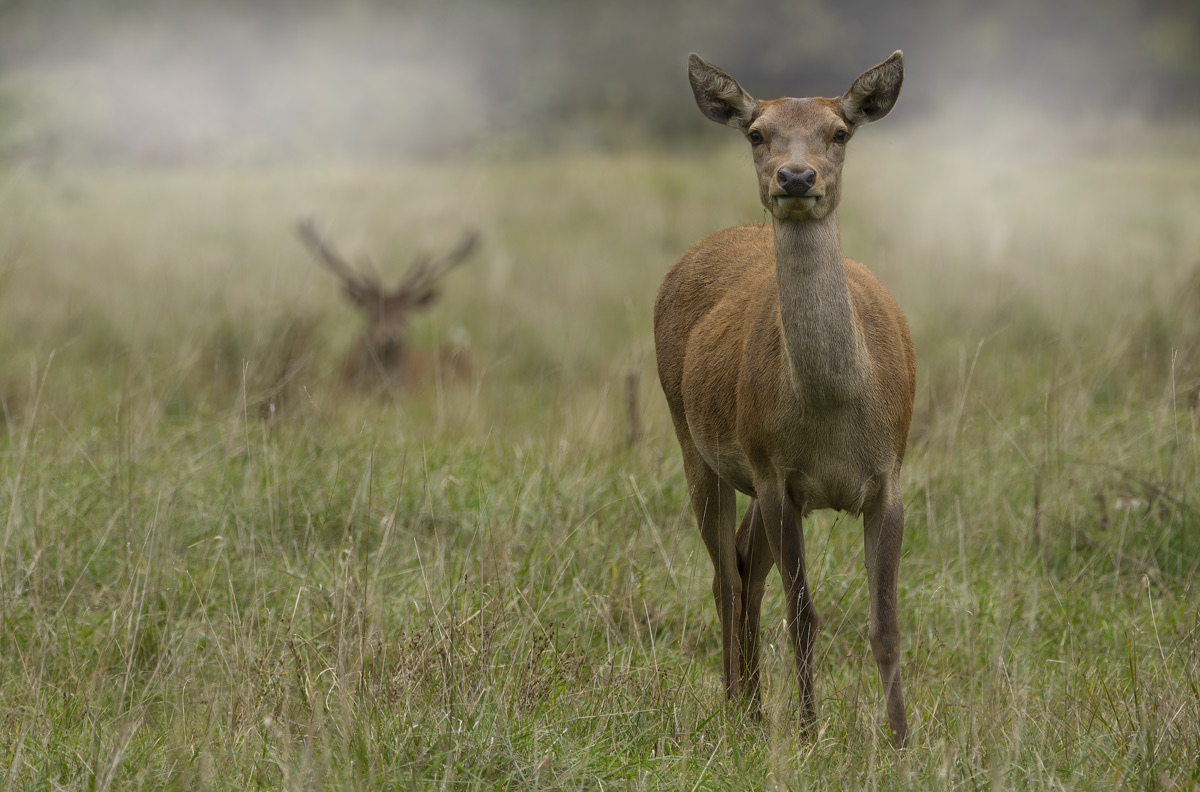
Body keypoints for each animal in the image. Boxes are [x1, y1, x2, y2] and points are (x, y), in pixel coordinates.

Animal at [653, 52, 916, 747]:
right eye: (756, 133)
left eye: (840, 132)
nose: (795, 177)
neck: (833, 413)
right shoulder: (781, 478)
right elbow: (804, 615)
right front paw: (807, 731)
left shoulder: (889, 479)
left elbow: (885, 623)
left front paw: (902, 739)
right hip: (698, 446)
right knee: (724, 574)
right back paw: (734, 704)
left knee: (747, 562)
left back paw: (750, 702)